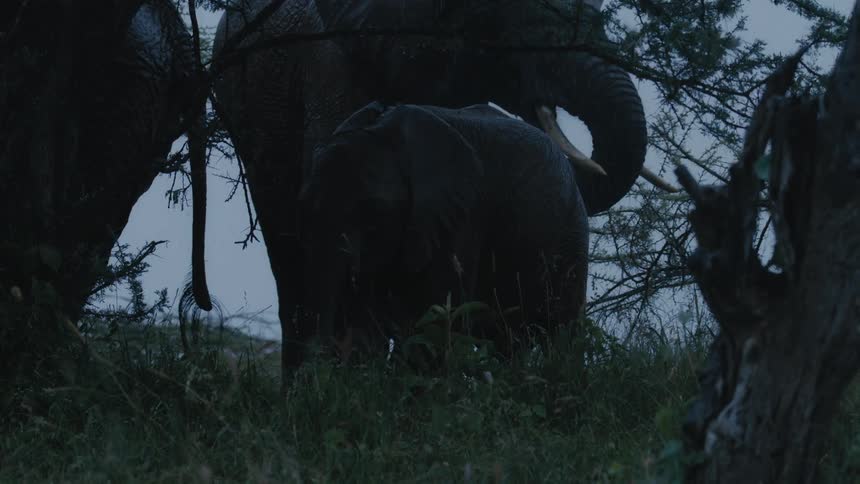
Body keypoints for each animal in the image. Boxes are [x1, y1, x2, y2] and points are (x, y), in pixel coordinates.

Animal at [298, 101, 590, 361]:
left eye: (373, 213)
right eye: (304, 206)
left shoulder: (462, 213)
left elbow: (435, 321)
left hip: (572, 232)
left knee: (563, 333)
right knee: (508, 341)